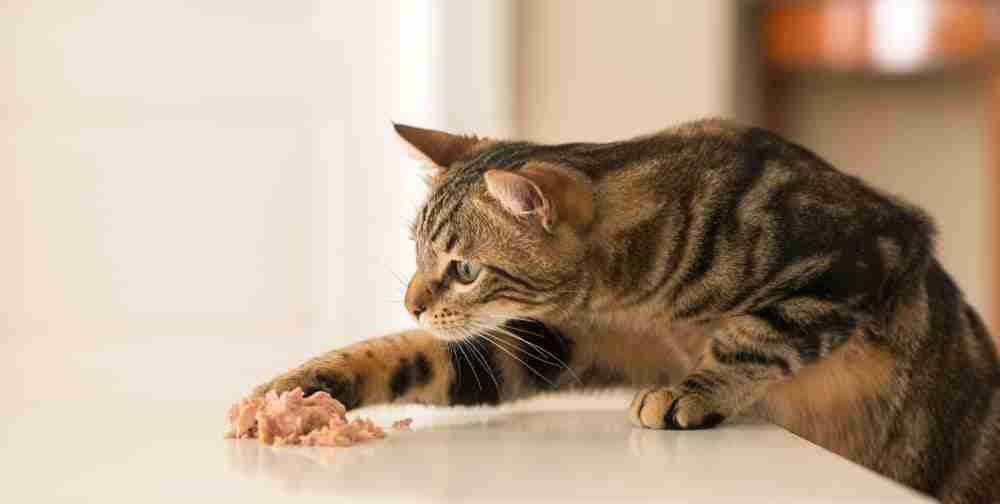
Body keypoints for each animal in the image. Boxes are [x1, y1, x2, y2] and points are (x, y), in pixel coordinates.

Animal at [252, 120, 1000, 502]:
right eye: (415, 252)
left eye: (463, 270)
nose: (409, 303)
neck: (644, 302)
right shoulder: (556, 341)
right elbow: (416, 359)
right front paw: (296, 390)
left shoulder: (862, 254)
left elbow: (756, 335)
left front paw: (689, 390)